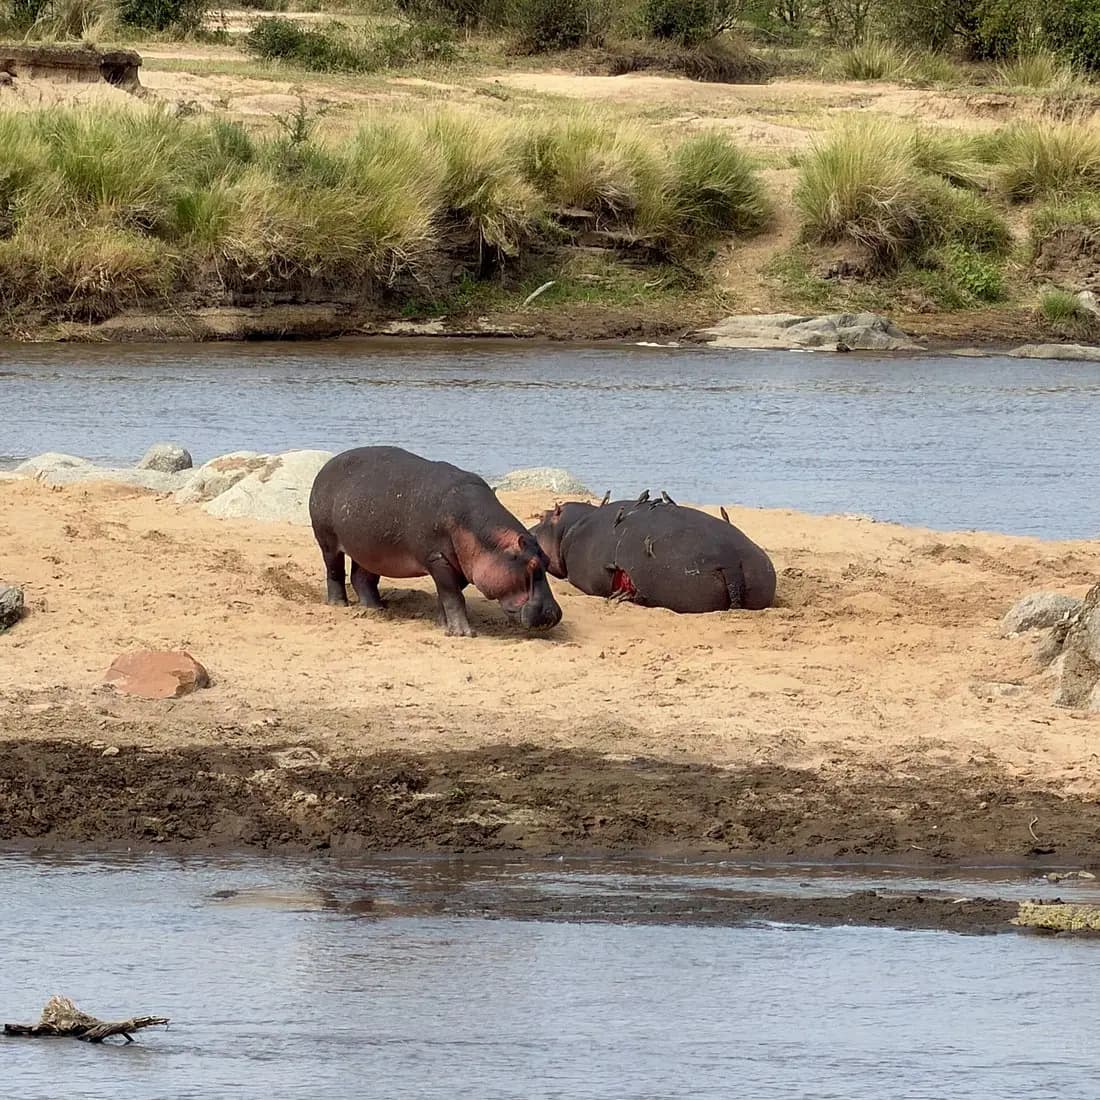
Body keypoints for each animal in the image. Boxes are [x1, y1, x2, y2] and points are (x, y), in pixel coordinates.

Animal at [309, 446, 562, 636]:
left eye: (547, 561)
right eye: (531, 565)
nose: (554, 614)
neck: (490, 543)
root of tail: (326, 466)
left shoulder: (460, 564)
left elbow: (448, 595)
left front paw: (443, 625)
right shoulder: (437, 559)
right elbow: (453, 596)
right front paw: (463, 633)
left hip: (369, 549)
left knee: (362, 577)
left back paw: (376, 609)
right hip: (328, 541)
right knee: (334, 572)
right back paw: (339, 604)